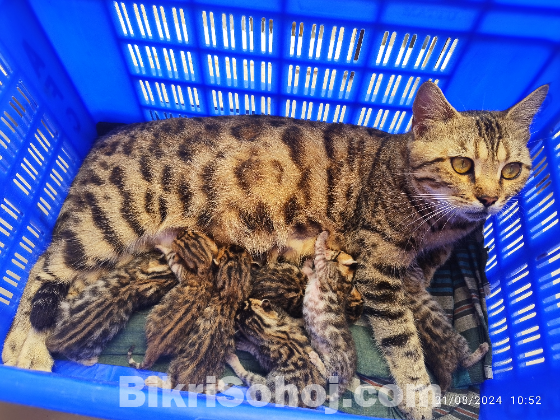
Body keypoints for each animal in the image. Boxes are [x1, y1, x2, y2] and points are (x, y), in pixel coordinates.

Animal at [302, 233, 358, 400]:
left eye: (334, 251)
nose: (330, 248)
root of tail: (348, 377)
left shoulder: (323, 269)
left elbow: (319, 254)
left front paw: (322, 236)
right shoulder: (317, 275)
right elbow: (309, 271)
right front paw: (307, 263)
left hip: (334, 361)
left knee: (327, 374)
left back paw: (314, 357)